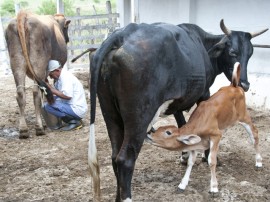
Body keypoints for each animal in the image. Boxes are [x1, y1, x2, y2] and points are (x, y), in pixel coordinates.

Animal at [5, 10, 70, 138]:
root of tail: (24, 15)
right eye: (66, 28)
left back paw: (23, 130)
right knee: (36, 92)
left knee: (20, 93)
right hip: (38, 63)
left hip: (17, 63)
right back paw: (39, 127)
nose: (68, 38)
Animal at [146, 62, 262, 194]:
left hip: (244, 116)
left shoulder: (216, 135)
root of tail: (233, 85)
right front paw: (182, 184)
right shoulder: (196, 143)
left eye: (168, 132)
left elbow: (212, 160)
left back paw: (259, 162)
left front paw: (214, 187)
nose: (149, 133)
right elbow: (190, 162)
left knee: (254, 133)